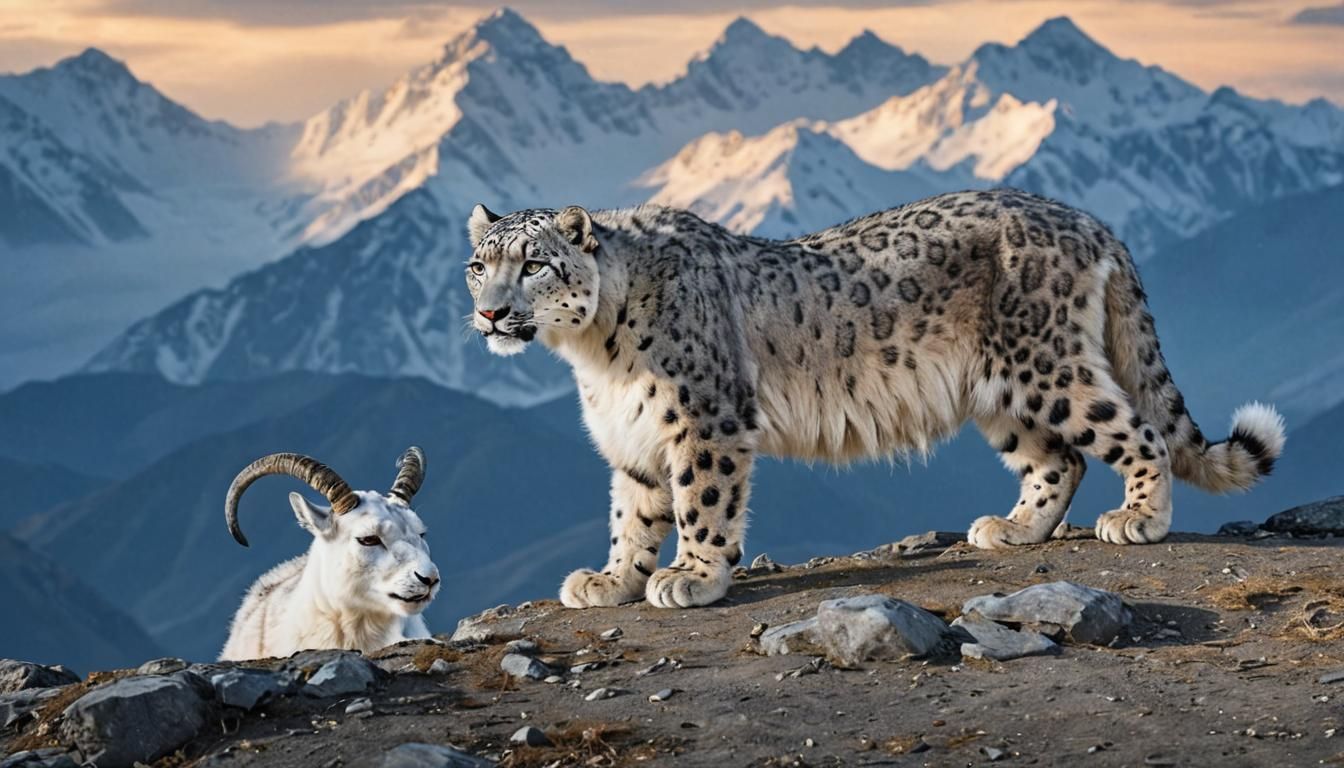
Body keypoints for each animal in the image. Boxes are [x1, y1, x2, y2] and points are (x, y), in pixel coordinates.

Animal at [463, 189, 1285, 609]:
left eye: (535, 264)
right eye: (479, 264)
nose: (492, 313)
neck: (595, 356)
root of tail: (1086, 219)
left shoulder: (705, 419)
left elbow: (702, 501)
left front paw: (692, 576)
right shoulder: (633, 435)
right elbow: (633, 512)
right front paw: (612, 579)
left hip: (1045, 363)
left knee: (1136, 430)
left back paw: (1138, 518)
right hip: (1000, 388)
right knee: (1059, 461)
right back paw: (1013, 530)